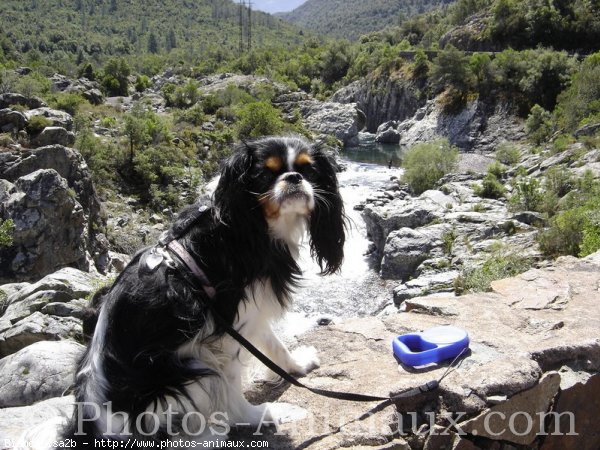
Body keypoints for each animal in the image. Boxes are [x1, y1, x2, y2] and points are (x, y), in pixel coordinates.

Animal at [58, 136, 344, 446]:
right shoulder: (223, 332)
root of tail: (94, 425)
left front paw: (296, 366)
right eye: (264, 175)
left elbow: (273, 346)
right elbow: (233, 385)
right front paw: (258, 415)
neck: (244, 227)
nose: (294, 178)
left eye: (309, 171)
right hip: (189, 367)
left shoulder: (250, 313)